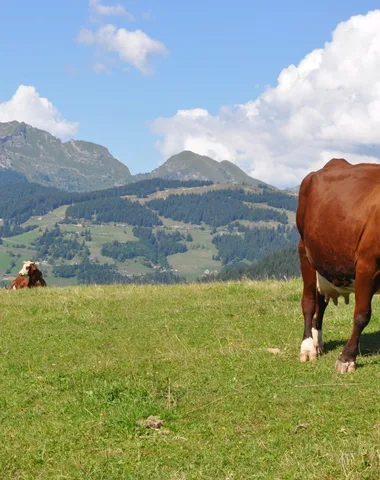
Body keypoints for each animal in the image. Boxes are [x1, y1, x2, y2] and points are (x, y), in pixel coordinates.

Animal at [296, 159, 380, 374]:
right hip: (305, 250)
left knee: (321, 302)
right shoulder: (368, 264)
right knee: (309, 302)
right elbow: (362, 315)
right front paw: (347, 358)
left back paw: (317, 341)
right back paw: (308, 347)